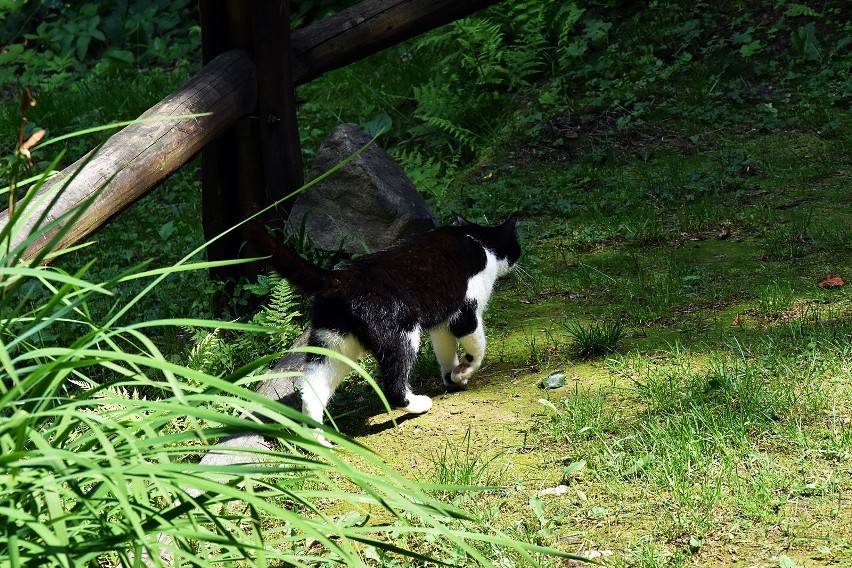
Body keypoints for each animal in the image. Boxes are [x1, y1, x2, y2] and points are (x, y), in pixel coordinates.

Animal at [250, 215, 524, 442]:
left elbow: (445, 351)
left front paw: (453, 377)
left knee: (311, 393)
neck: (477, 240)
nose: (516, 263)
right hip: (402, 336)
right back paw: (419, 404)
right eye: (515, 246)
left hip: (332, 343)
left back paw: (318, 441)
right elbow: (477, 348)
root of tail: (340, 277)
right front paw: (465, 370)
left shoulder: (442, 323)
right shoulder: (466, 312)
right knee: (393, 388)